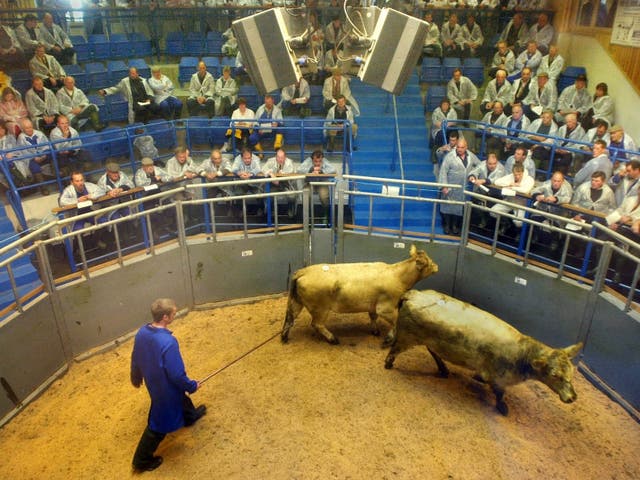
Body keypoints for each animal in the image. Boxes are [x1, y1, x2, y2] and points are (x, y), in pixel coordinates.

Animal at [282, 246, 438, 344]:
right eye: (429, 262)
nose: (437, 266)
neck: (397, 276)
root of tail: (303, 271)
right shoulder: (386, 307)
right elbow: (395, 322)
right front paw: (388, 338)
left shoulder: (373, 305)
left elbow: (373, 317)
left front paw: (375, 331)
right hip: (320, 309)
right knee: (316, 324)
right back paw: (333, 339)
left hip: (297, 302)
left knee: (290, 318)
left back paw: (284, 337)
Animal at [382, 288, 584, 416]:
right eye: (554, 375)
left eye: (570, 373)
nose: (573, 397)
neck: (522, 353)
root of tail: (413, 294)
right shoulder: (498, 377)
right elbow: (499, 393)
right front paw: (502, 407)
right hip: (407, 336)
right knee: (395, 349)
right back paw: (389, 364)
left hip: (430, 339)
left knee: (432, 350)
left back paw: (443, 369)